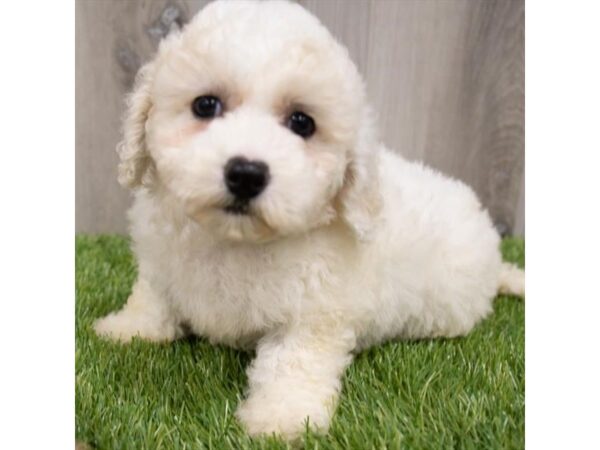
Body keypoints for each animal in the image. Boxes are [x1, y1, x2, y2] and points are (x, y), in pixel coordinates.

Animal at [95, 0, 524, 442]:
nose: (246, 173)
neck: (236, 240)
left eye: (302, 123)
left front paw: (281, 417)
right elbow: (154, 295)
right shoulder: (160, 257)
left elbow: (293, 361)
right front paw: (130, 327)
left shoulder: (315, 312)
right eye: (205, 105)